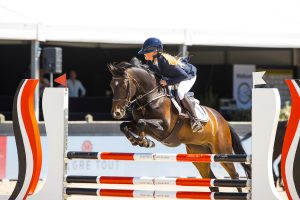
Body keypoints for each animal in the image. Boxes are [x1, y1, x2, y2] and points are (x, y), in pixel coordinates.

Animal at [108, 59, 251, 192]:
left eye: (124, 85)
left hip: (222, 151)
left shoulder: (164, 128)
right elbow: (125, 125)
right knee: (210, 179)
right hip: (199, 153)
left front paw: (145, 142)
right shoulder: (143, 126)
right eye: (112, 86)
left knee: (234, 175)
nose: (117, 113)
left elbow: (142, 122)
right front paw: (137, 141)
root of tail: (223, 121)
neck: (151, 97)